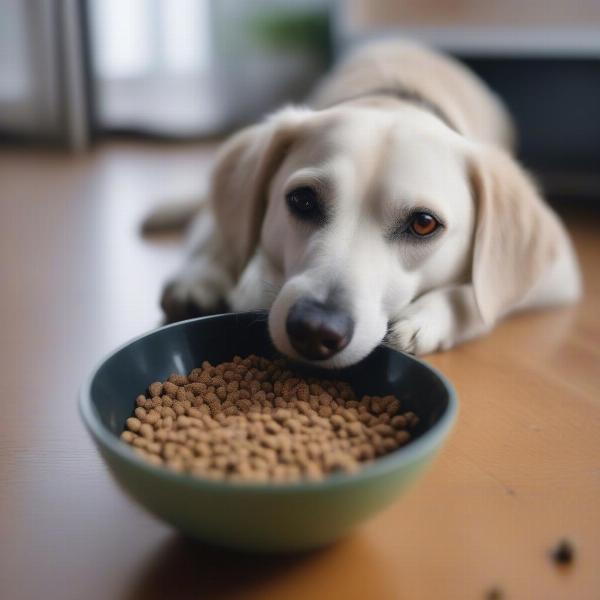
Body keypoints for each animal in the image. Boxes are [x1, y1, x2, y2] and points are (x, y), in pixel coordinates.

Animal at [149, 39, 580, 368]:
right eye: (302, 200)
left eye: (424, 223)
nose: (315, 330)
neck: (393, 101)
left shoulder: (558, 275)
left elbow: (476, 294)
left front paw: (425, 318)